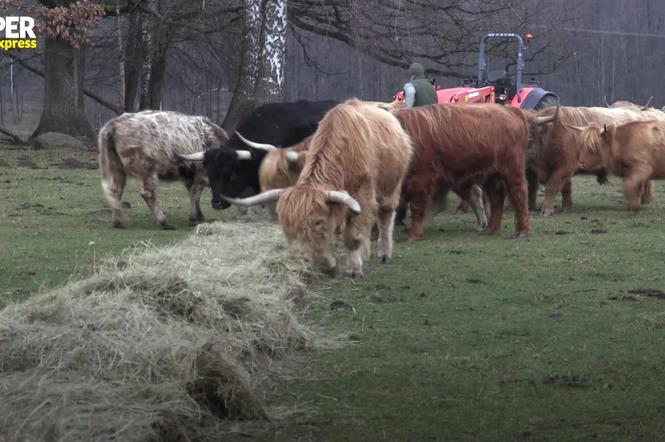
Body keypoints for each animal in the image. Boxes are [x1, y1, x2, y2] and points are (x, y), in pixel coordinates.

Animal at [98, 110, 228, 230]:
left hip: (117, 168)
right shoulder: (202, 173)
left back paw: (117, 221)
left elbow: (192, 194)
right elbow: (195, 193)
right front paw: (192, 218)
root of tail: (114, 123)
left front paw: (199, 216)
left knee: (115, 191)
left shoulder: (190, 175)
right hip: (146, 170)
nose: (219, 205)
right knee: (147, 193)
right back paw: (164, 222)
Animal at [220, 99, 412, 278]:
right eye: (285, 224)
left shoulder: (362, 195)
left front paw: (354, 269)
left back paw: (384, 254)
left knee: (385, 217)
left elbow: (353, 236)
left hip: (390, 187)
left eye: (317, 222)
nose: (302, 258)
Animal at [392, 103, 536, 240]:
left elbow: (416, 207)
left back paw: (522, 231)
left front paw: (413, 234)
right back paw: (490, 229)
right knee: (496, 197)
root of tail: (510, 110)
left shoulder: (421, 179)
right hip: (491, 175)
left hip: (513, 169)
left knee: (519, 193)